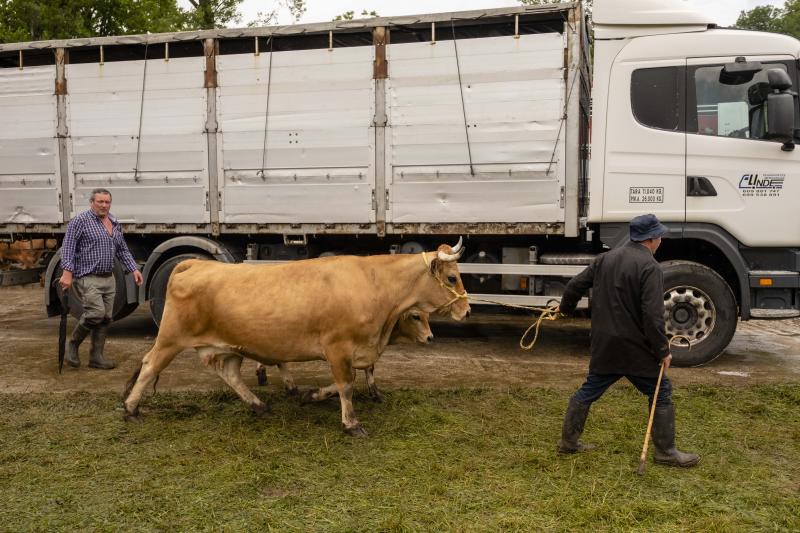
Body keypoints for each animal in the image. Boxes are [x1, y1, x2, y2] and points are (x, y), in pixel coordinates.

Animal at [123, 241, 468, 436]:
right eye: (452, 278)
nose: (466, 309)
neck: (373, 283)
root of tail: (194, 263)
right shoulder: (337, 346)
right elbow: (347, 384)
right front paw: (351, 424)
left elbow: (347, 381)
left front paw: (311, 395)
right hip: (170, 338)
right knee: (149, 365)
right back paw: (130, 407)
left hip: (230, 345)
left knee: (230, 373)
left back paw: (258, 405)